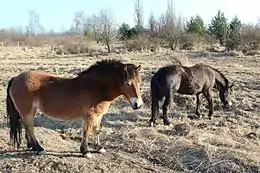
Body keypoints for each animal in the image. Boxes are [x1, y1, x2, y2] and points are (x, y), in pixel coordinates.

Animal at [6, 59, 143, 158]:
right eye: (127, 83)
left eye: (139, 82)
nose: (138, 104)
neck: (96, 87)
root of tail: (16, 78)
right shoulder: (89, 116)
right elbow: (86, 132)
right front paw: (85, 151)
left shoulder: (98, 116)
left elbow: (96, 130)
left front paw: (99, 148)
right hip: (27, 112)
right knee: (30, 127)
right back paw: (38, 149)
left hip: (28, 112)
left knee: (26, 126)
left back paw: (31, 146)